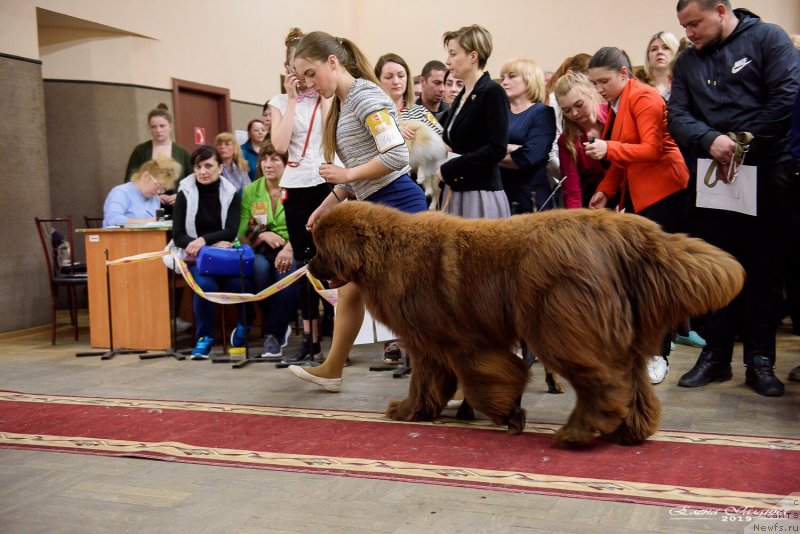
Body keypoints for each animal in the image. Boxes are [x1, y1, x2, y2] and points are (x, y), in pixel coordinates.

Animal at [308, 203, 744, 446]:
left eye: (320, 249)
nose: (309, 266)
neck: (385, 251)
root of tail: (615, 231)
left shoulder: (461, 342)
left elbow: (491, 379)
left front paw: (509, 415)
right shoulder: (429, 344)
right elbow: (427, 383)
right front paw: (410, 411)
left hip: (561, 329)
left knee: (602, 383)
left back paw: (579, 434)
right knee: (632, 386)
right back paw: (630, 432)